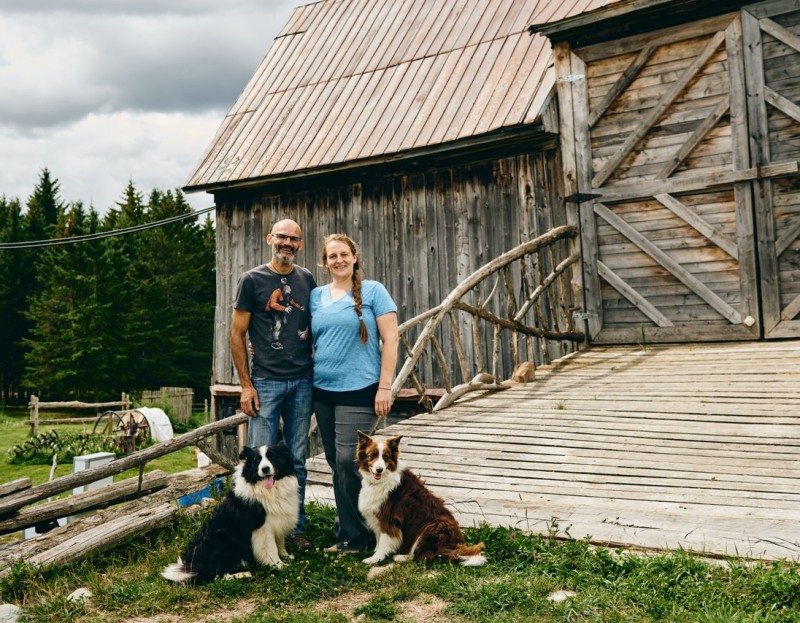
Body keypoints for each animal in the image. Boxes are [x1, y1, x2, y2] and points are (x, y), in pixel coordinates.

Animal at [161, 443, 299, 584]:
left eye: (272, 457)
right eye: (257, 461)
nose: (265, 469)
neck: (266, 489)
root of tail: (197, 567)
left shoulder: (279, 520)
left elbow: (280, 542)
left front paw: (286, 556)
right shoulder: (263, 529)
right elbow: (271, 549)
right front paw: (279, 565)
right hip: (226, 539)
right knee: (217, 575)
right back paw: (243, 574)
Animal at [356, 431, 485, 566]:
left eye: (385, 457)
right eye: (372, 455)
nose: (379, 469)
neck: (382, 480)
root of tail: (456, 545)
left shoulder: (389, 519)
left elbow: (384, 541)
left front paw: (375, 558)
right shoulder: (377, 515)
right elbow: (378, 537)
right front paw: (375, 551)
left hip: (432, 526)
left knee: (424, 555)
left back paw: (401, 557)